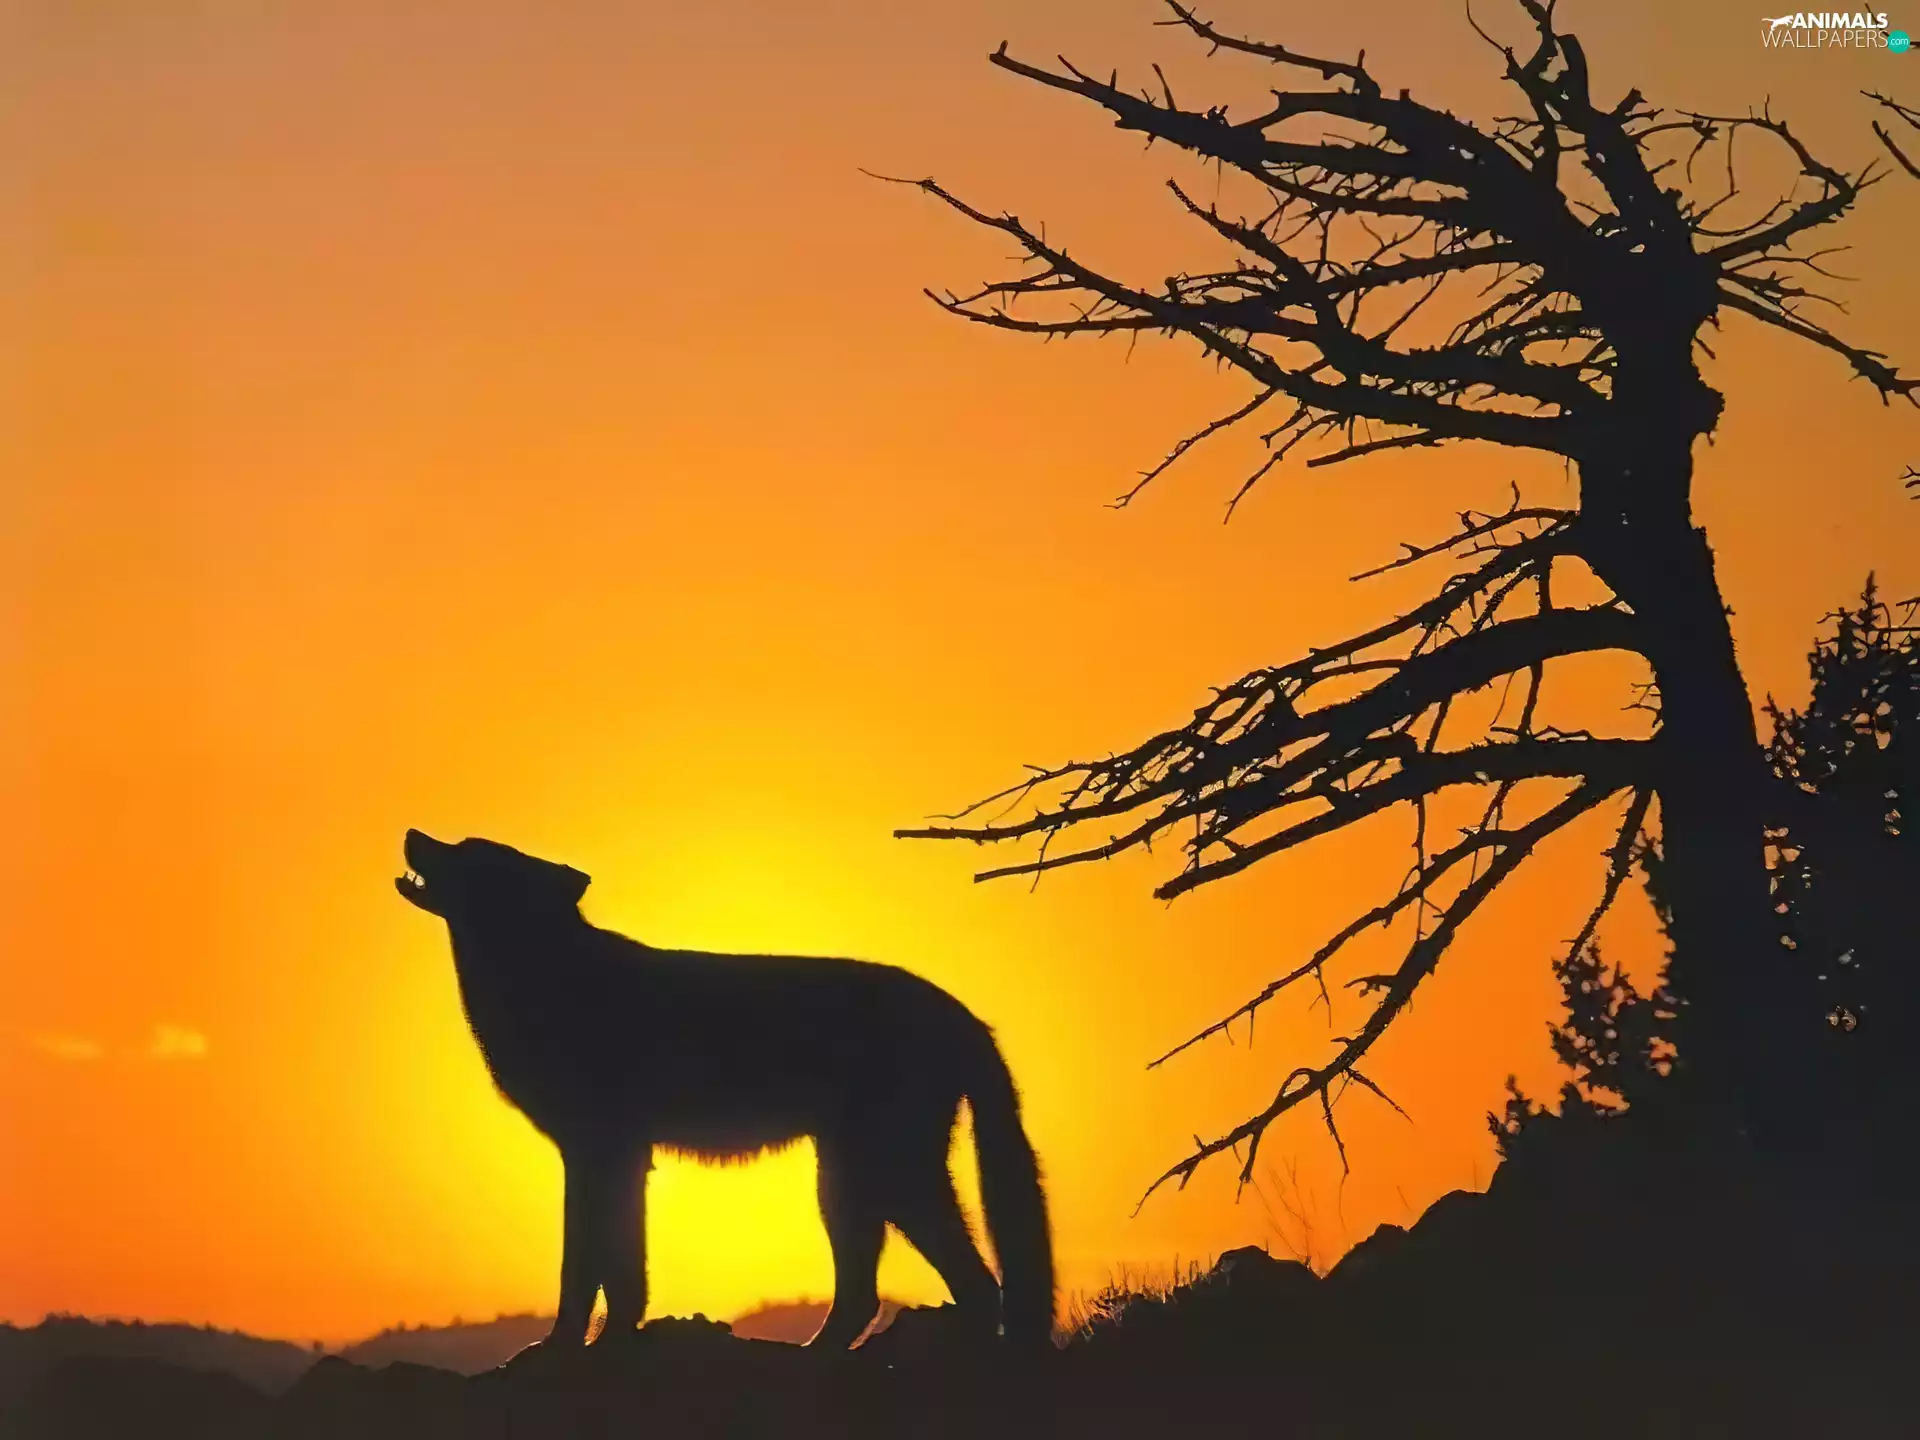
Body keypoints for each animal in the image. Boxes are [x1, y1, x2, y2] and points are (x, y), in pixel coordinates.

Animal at [394, 829, 1054, 1351]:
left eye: (468, 852)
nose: (412, 832)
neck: (548, 978)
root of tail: (964, 1016)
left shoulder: (599, 1153)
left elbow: (588, 1266)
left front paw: (567, 1349)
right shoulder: (612, 1157)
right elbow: (617, 1268)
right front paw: (603, 1342)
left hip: (888, 1177)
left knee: (975, 1284)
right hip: (849, 1181)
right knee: (877, 1294)